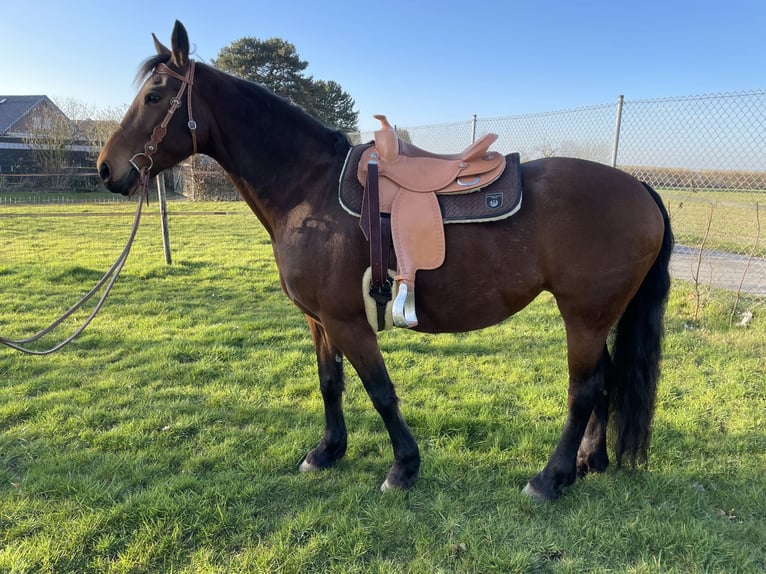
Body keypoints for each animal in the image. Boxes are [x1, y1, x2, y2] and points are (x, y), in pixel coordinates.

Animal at [94, 20, 672, 502]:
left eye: (154, 95)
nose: (106, 169)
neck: (309, 189)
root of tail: (640, 187)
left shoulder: (348, 320)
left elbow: (380, 391)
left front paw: (403, 467)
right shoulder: (319, 319)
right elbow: (330, 383)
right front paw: (327, 452)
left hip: (584, 316)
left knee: (585, 389)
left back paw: (550, 479)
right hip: (597, 318)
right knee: (606, 381)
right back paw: (589, 462)